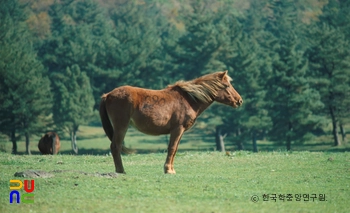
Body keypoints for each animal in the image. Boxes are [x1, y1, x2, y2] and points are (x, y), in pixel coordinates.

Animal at [98, 70, 241, 174]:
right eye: (227, 86)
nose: (239, 100)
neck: (189, 99)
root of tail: (108, 95)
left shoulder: (180, 131)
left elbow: (175, 148)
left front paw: (171, 169)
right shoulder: (177, 129)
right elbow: (172, 148)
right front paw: (168, 170)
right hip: (121, 127)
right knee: (115, 146)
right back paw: (121, 171)